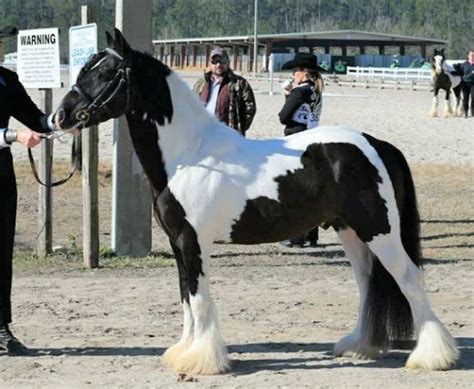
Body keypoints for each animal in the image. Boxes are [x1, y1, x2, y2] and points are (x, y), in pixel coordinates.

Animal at [51, 28, 460, 374]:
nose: (60, 116)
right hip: (351, 231)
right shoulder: (178, 243)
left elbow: (199, 298)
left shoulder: (193, 242)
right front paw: (184, 351)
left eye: (106, 74)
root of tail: (376, 144)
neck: (188, 155)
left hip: (380, 230)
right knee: (367, 281)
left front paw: (204, 360)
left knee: (409, 277)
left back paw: (432, 356)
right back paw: (358, 345)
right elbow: (186, 298)